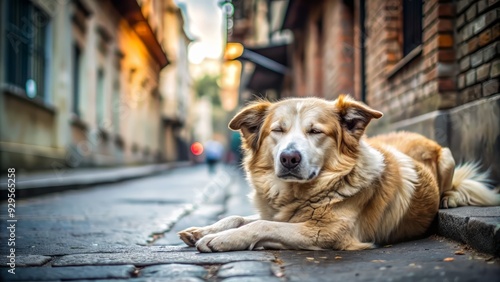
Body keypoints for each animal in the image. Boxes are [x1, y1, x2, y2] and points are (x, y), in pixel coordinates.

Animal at [178, 96, 498, 252]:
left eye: (315, 131)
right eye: (278, 130)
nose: (289, 158)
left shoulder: (327, 233)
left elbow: (260, 225)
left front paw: (220, 240)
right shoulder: (284, 216)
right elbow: (239, 217)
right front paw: (203, 231)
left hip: (447, 156)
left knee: (455, 185)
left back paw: (449, 198)